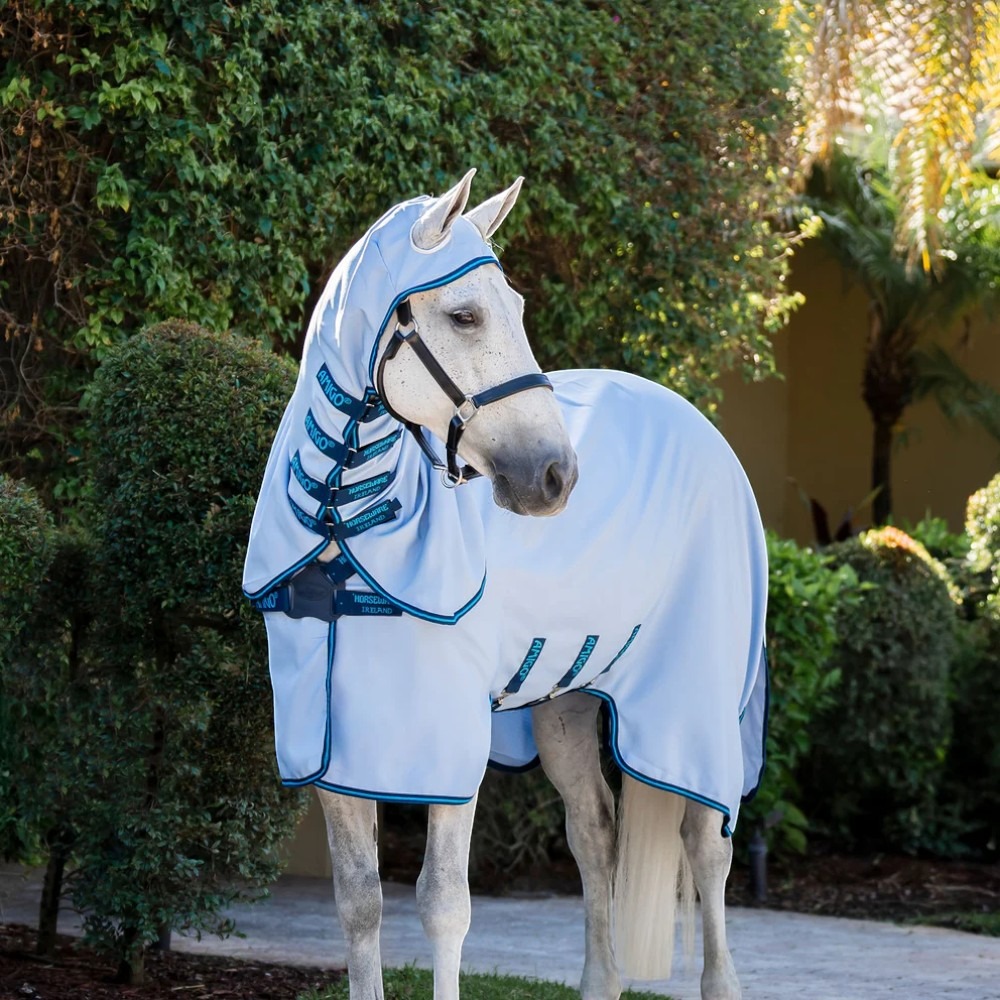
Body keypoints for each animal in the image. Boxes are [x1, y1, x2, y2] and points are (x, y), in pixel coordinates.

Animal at [243, 170, 768, 1000]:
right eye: (464, 314)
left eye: (516, 308)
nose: (556, 476)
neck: (342, 522)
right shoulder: (333, 754)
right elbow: (359, 903)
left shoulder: (447, 746)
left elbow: (443, 906)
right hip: (565, 703)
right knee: (594, 833)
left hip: (693, 704)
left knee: (704, 843)